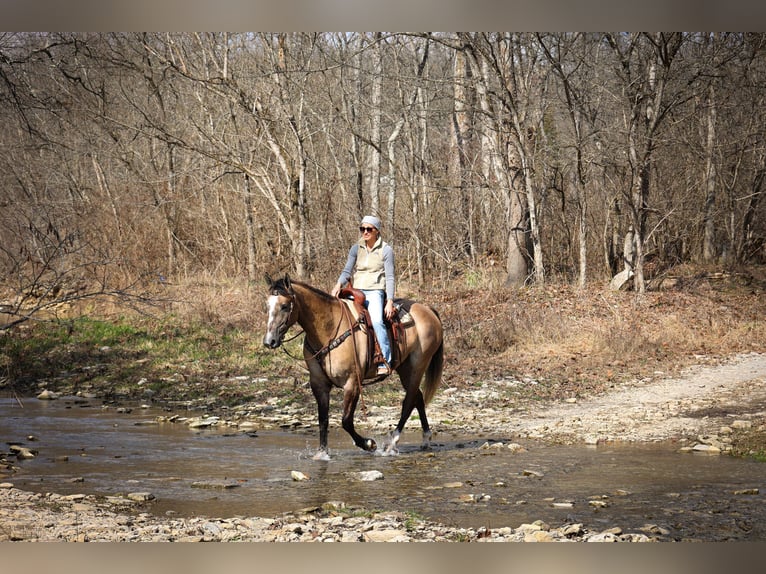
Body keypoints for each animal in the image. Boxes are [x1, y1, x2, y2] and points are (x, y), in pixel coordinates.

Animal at [264, 272, 444, 462]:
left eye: (284, 306)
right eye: (267, 305)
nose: (269, 341)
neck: (328, 330)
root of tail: (428, 310)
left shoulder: (352, 383)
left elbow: (346, 421)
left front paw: (369, 444)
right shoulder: (319, 384)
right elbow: (323, 419)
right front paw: (322, 452)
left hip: (418, 365)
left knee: (409, 402)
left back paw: (392, 443)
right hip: (405, 368)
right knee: (418, 397)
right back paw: (425, 439)